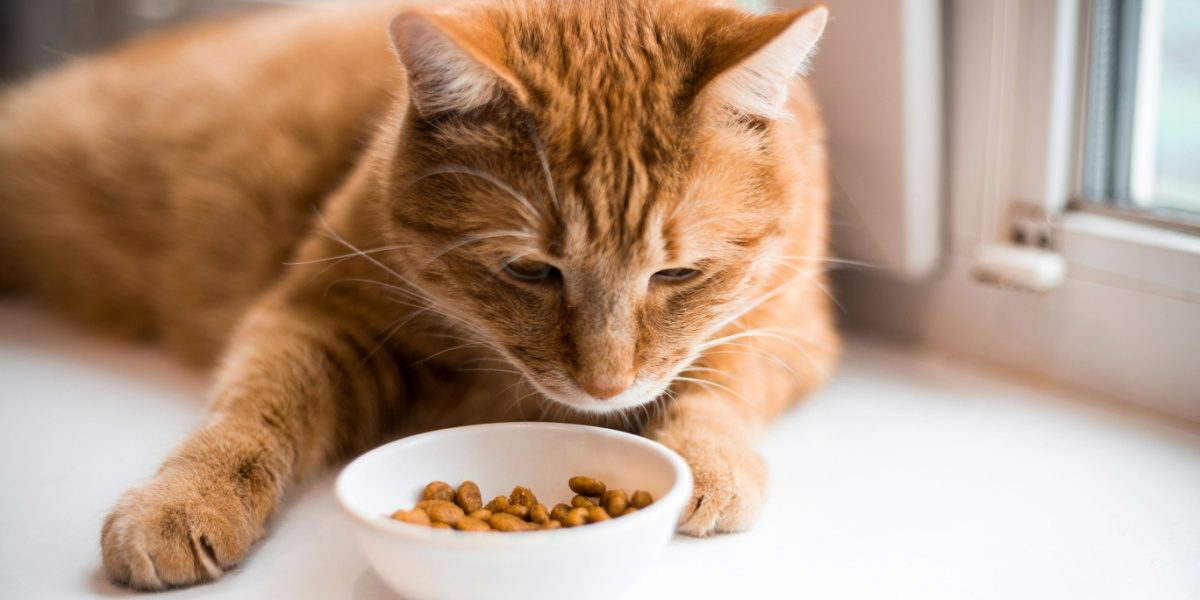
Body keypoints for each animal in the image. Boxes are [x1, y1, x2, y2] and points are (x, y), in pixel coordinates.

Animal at [0, 0, 835, 590]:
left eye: (677, 276)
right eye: (530, 271)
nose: (605, 386)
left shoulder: (796, 331)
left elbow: (720, 383)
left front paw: (707, 457)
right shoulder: (318, 311)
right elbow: (252, 410)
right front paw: (185, 497)